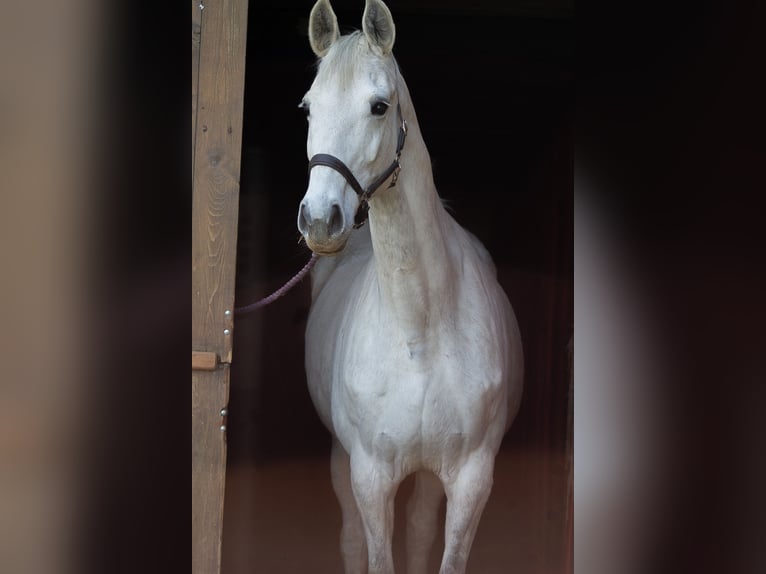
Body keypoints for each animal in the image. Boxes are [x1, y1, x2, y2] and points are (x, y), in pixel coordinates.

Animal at [295, 1, 524, 572]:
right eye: (308, 108)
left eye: (379, 106)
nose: (320, 221)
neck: (419, 330)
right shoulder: (370, 476)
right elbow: (374, 555)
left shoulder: (470, 480)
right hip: (342, 459)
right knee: (351, 539)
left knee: (419, 529)